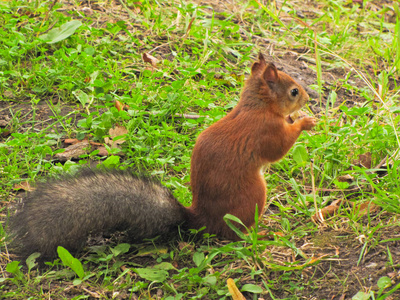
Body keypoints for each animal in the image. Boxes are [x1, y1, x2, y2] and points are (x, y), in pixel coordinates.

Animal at [8, 52, 316, 258]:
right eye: (293, 91)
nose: (308, 98)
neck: (257, 106)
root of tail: (201, 220)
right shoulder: (265, 132)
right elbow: (278, 149)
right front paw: (304, 121)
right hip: (253, 196)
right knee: (234, 235)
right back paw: (260, 233)